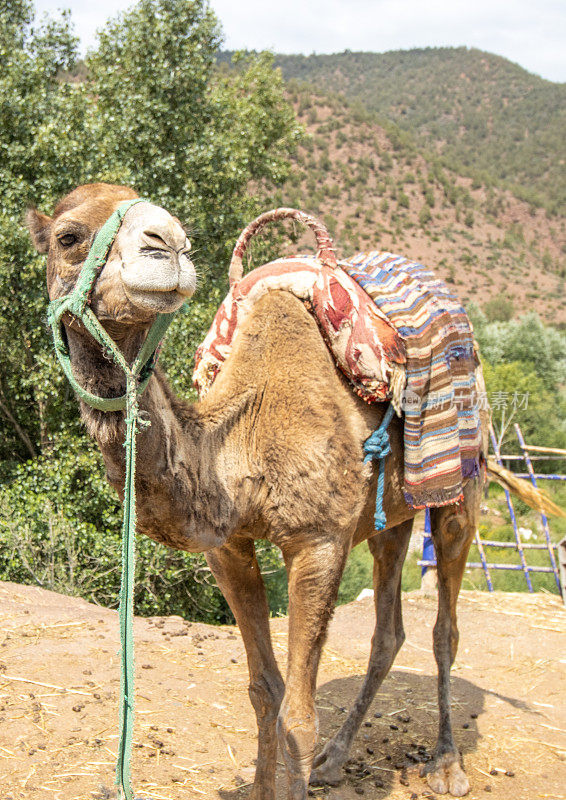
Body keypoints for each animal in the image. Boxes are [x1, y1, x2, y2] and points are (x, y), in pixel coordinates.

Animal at [28, 181, 494, 800]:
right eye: (68, 236)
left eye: (174, 224)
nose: (166, 242)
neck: (242, 438)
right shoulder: (228, 547)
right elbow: (263, 690)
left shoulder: (319, 540)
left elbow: (298, 711)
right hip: (390, 516)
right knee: (388, 628)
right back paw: (336, 759)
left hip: (461, 484)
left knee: (445, 625)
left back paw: (445, 764)